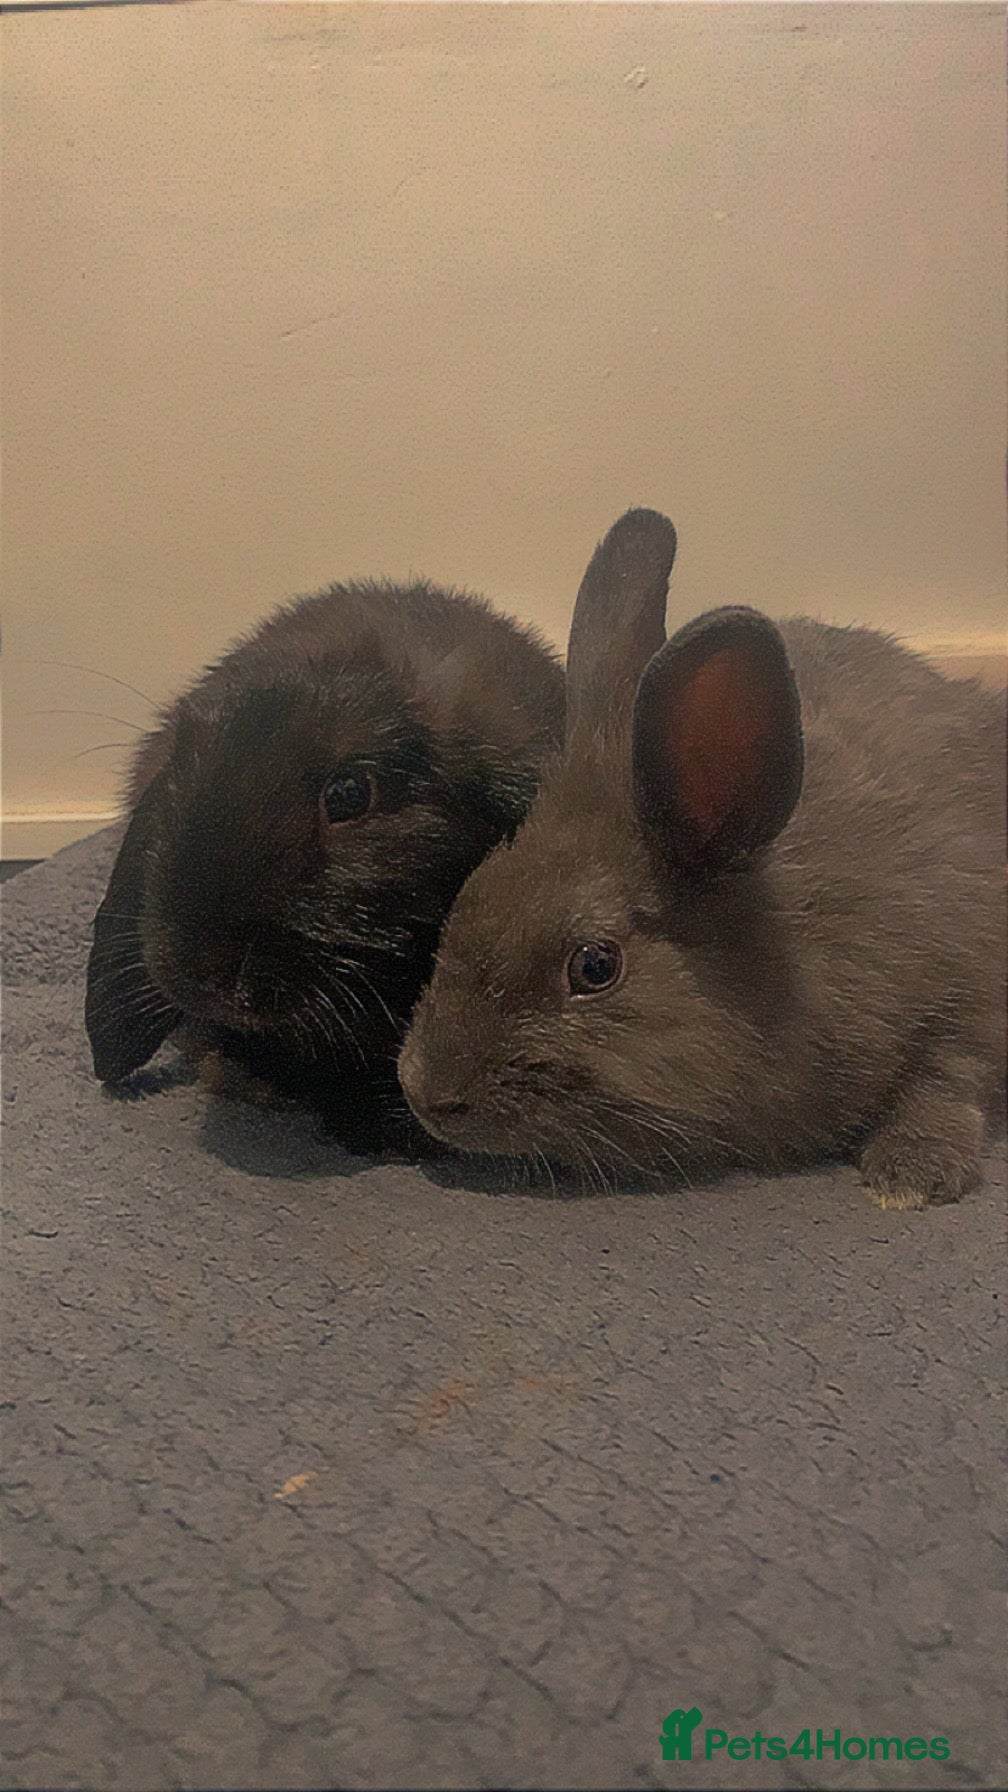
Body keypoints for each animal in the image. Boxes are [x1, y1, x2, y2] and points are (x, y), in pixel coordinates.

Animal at [399, 508, 1006, 1208]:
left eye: (595, 966)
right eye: (472, 893)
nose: (424, 1092)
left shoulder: (971, 996)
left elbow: (947, 1078)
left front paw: (910, 1175)